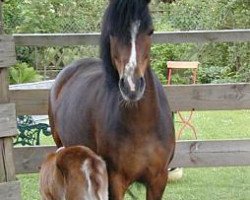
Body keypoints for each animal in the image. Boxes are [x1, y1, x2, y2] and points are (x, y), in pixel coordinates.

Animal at [47, 0, 175, 199]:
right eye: (112, 31)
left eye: (150, 31)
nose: (131, 86)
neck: (143, 126)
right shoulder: (115, 181)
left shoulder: (158, 180)